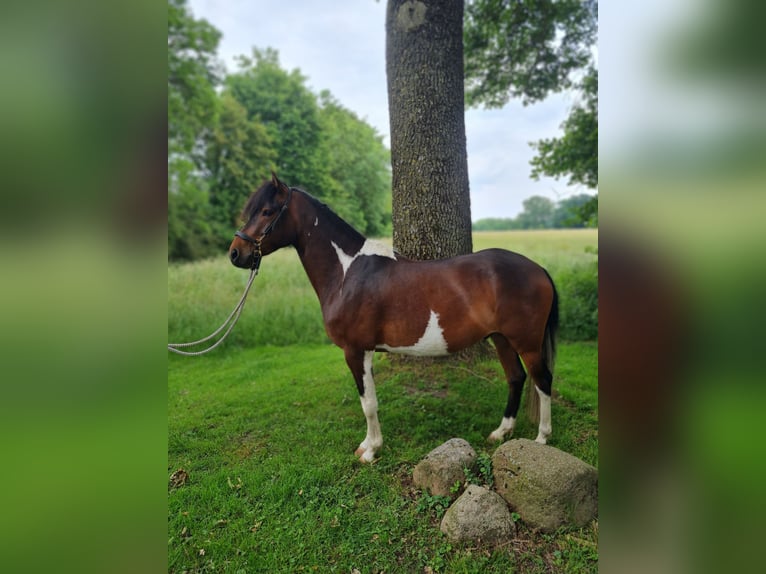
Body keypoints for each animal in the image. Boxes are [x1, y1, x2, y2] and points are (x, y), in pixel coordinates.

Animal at [229, 173, 559, 463]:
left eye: (267, 211)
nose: (235, 253)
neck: (347, 272)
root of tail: (538, 269)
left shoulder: (356, 351)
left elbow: (368, 403)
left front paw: (371, 451)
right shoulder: (366, 352)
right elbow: (369, 399)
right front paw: (367, 445)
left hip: (526, 342)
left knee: (542, 380)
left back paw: (542, 438)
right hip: (501, 338)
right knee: (516, 378)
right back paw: (501, 432)